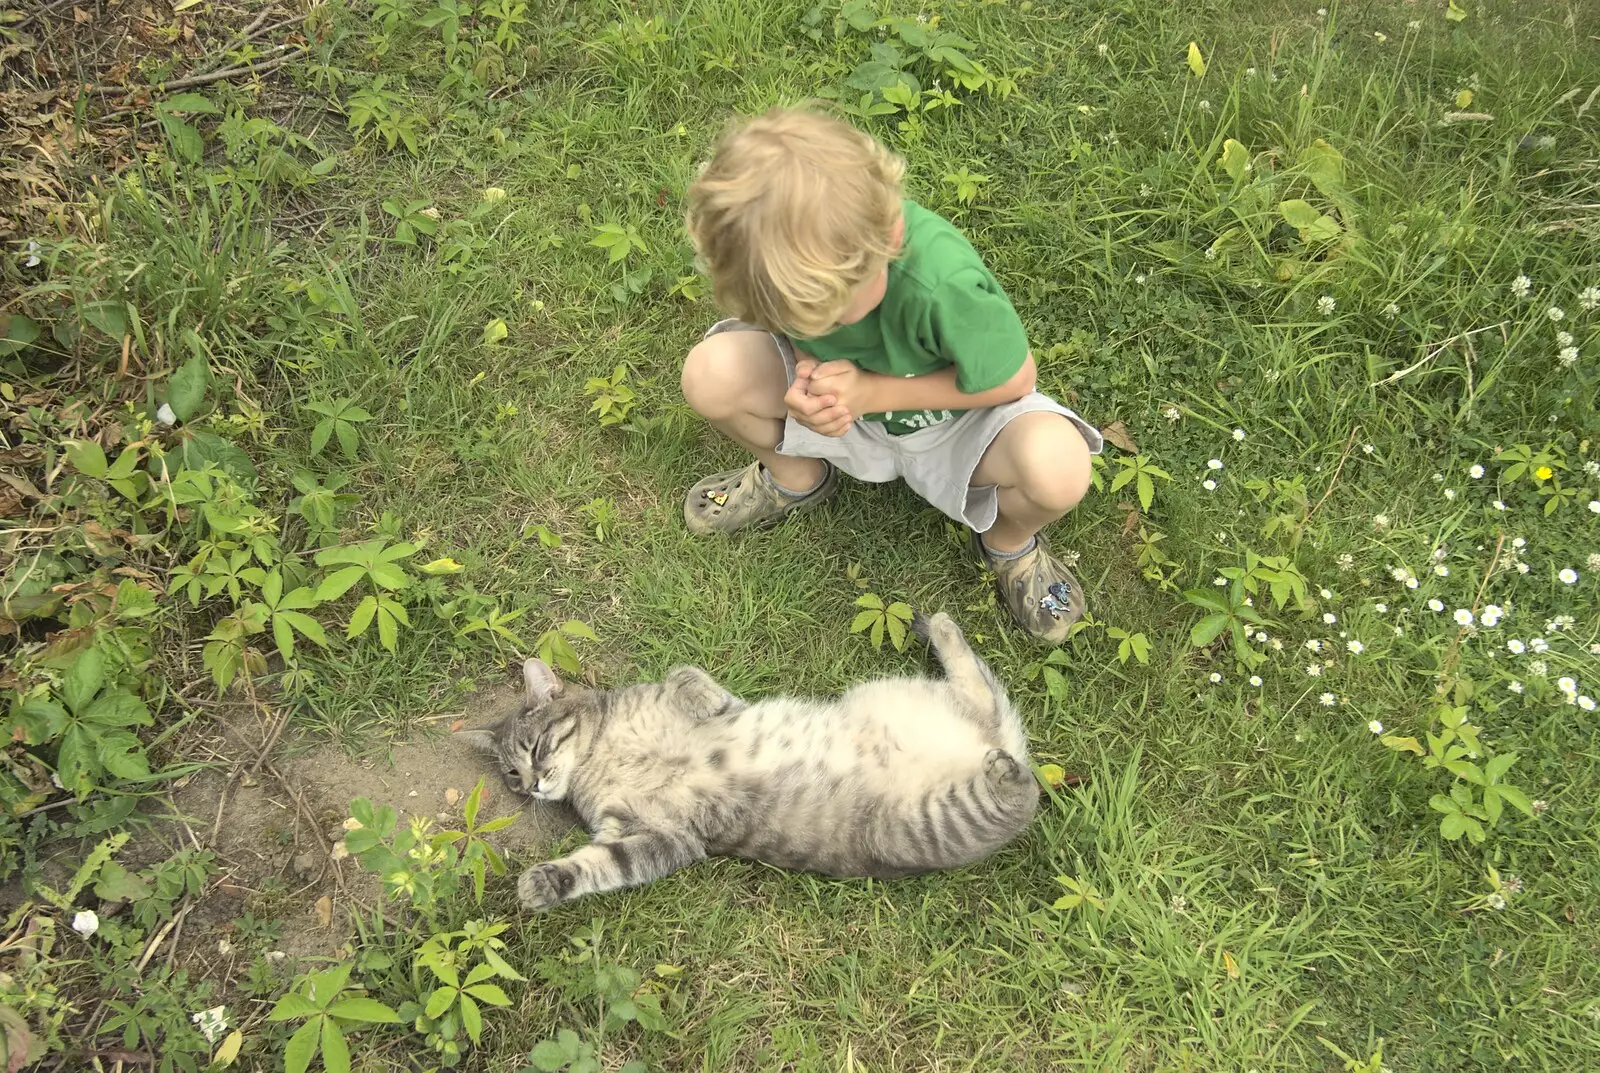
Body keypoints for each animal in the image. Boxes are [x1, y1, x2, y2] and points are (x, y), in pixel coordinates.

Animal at [464, 614, 1036, 908]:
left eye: (535, 749)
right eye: (511, 774)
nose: (533, 785)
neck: (600, 756)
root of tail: (990, 744)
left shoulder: (709, 701)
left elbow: (684, 674)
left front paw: (699, 700)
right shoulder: (655, 837)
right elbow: (596, 865)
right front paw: (543, 882)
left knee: (1022, 778)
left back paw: (942, 631)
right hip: (931, 811)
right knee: (1010, 751)